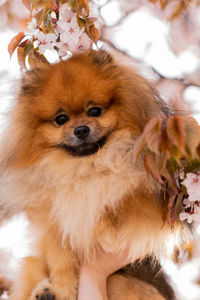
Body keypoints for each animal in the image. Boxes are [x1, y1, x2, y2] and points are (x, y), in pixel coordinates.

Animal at [0, 49, 179, 298]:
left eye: (94, 111)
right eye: (61, 119)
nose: (81, 129)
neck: (84, 166)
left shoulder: (149, 200)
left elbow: (114, 200)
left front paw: (106, 233)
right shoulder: (52, 224)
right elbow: (60, 258)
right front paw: (63, 288)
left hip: (125, 283)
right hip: (32, 265)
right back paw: (44, 291)